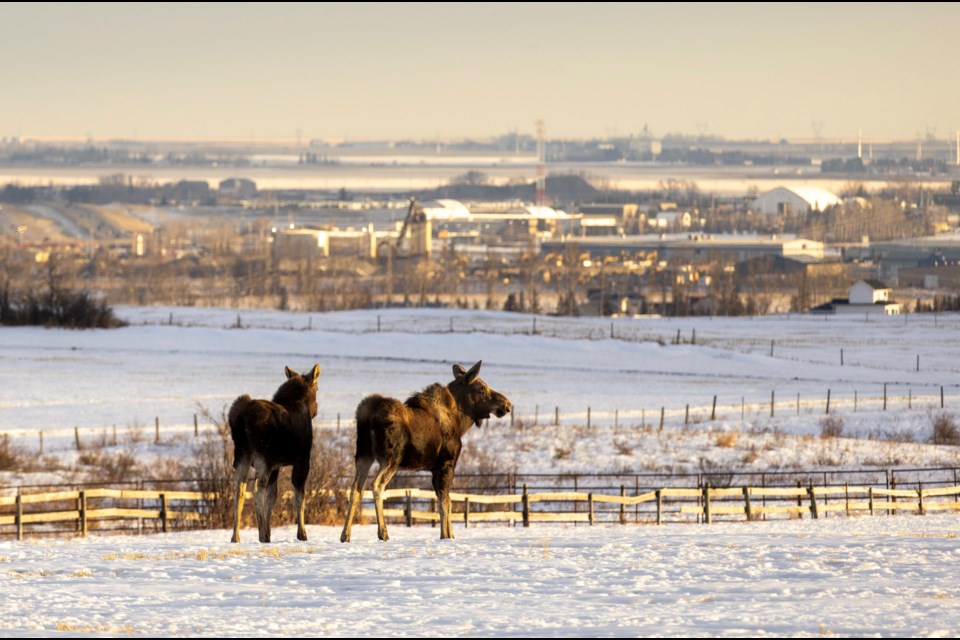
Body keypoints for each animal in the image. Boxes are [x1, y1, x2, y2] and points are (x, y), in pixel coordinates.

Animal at [229, 362, 322, 544]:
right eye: (317, 387)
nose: (316, 410)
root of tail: (241, 417)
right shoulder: (303, 460)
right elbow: (300, 496)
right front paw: (302, 534)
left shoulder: (276, 465)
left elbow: (273, 496)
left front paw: (269, 531)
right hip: (261, 458)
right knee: (256, 488)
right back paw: (260, 535)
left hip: (242, 456)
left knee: (239, 491)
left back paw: (236, 536)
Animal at [342, 360, 512, 540]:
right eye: (482, 388)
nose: (507, 404)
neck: (460, 422)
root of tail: (368, 416)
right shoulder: (446, 464)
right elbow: (445, 503)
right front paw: (446, 535)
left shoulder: (434, 468)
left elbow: (445, 502)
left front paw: (448, 535)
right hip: (391, 458)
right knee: (376, 485)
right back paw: (383, 532)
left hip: (363, 455)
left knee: (355, 489)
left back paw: (345, 534)